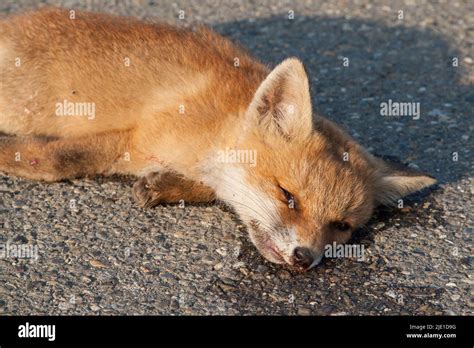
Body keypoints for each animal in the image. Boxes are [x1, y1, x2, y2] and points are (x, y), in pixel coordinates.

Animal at [0, 7, 436, 270]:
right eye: (288, 197)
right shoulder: (136, 138)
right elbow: (58, 161)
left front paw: (165, 186)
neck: (212, 131)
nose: (303, 258)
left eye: (341, 226)